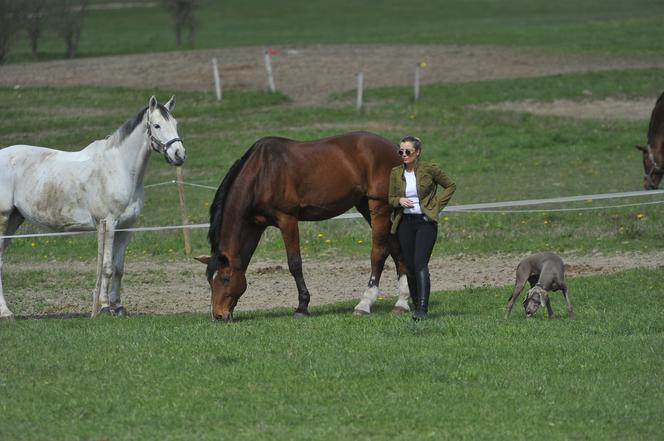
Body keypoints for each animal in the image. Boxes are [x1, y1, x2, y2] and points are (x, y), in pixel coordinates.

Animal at [0, 95, 185, 316]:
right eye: (157, 125)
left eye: (175, 124)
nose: (179, 154)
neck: (118, 168)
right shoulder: (109, 223)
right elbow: (106, 267)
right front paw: (104, 307)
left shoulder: (127, 227)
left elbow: (119, 268)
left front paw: (118, 307)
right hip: (3, 218)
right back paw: (6, 313)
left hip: (14, 219)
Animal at [196, 131, 410, 320]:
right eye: (209, 280)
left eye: (225, 278)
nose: (218, 315)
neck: (262, 173)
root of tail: (396, 150)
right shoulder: (255, 226)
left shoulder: (287, 219)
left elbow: (295, 263)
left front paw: (302, 306)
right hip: (366, 206)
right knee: (396, 249)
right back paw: (402, 302)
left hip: (379, 207)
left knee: (379, 253)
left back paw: (364, 304)